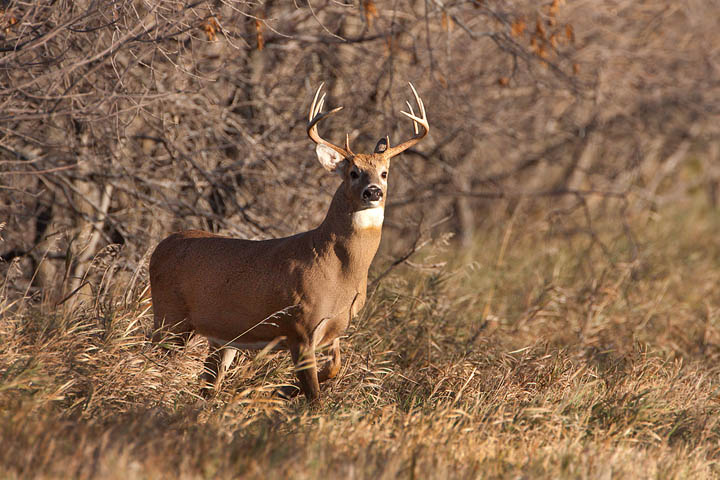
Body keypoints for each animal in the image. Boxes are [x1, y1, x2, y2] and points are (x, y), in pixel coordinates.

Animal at [148, 82, 428, 402]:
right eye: (353, 172)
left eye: (384, 173)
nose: (373, 191)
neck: (340, 271)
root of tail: (161, 245)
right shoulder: (300, 326)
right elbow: (314, 395)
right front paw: (286, 394)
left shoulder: (334, 330)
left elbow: (334, 369)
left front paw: (281, 390)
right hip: (169, 316)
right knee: (154, 359)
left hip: (222, 336)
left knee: (208, 382)